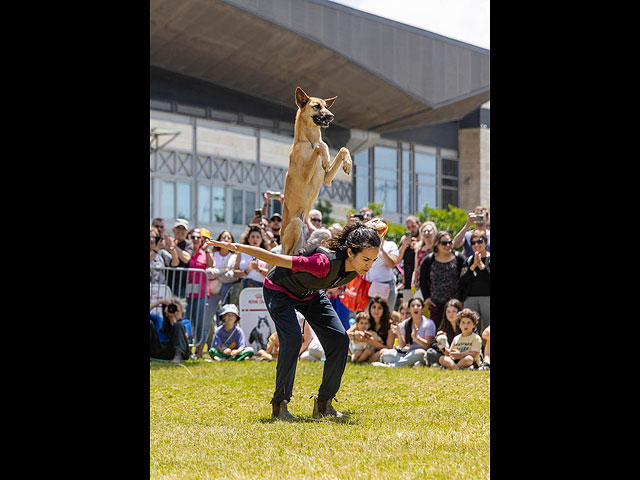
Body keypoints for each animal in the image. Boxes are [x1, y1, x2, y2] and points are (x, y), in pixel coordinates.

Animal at [280, 88, 352, 256]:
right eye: (317, 106)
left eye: (326, 105)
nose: (331, 116)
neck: (309, 140)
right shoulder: (305, 175)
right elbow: (320, 147)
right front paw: (324, 157)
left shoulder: (327, 178)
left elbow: (341, 148)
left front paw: (348, 164)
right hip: (295, 224)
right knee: (290, 253)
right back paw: (296, 252)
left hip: (323, 232)